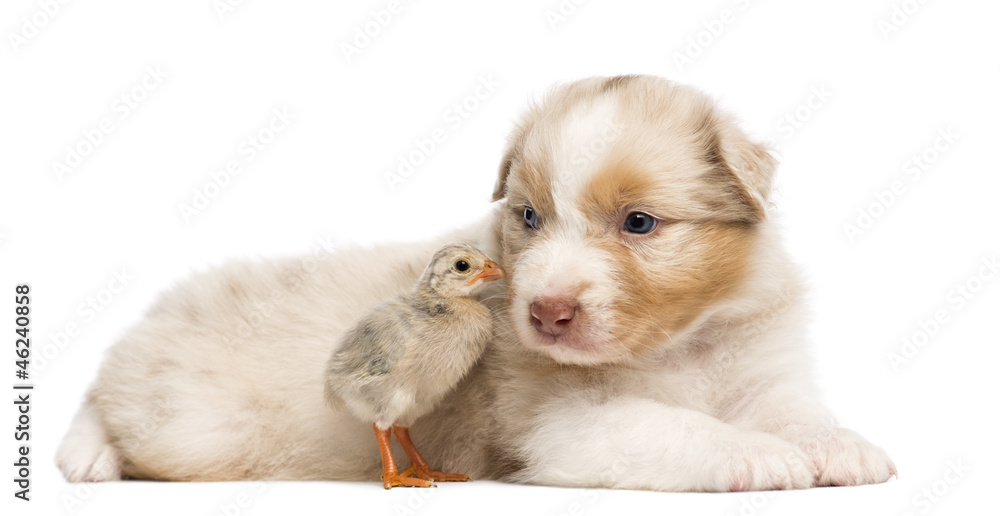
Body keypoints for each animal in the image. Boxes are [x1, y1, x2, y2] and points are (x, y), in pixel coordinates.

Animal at [58, 74, 896, 490]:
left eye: (639, 223)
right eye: (528, 215)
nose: (547, 314)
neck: (676, 347)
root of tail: (162, 309)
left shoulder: (761, 367)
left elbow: (795, 411)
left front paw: (840, 447)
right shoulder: (560, 425)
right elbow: (668, 424)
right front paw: (756, 456)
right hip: (197, 424)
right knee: (107, 396)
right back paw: (85, 456)